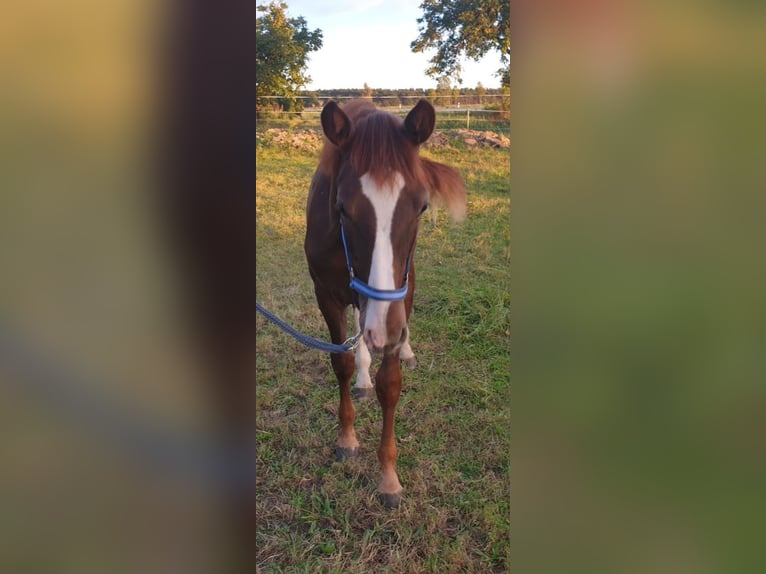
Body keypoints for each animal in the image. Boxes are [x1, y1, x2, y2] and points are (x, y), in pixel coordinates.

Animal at [305, 99, 467, 508]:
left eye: (421, 207)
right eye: (342, 208)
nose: (387, 335)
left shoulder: (400, 296)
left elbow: (390, 385)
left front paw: (389, 478)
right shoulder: (326, 295)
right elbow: (342, 362)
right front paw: (347, 438)